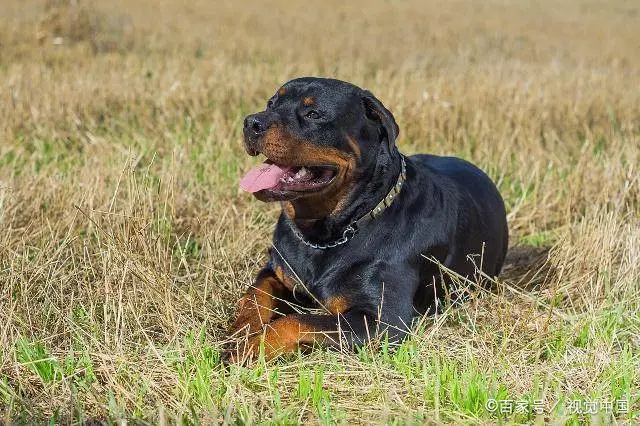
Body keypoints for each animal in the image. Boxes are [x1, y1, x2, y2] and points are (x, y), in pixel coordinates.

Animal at [222, 78, 508, 362]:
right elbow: (256, 295)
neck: (327, 233)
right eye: (271, 104)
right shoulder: (275, 270)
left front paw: (250, 348)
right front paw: (239, 333)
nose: (251, 122)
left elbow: (296, 321)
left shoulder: (383, 321)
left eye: (313, 114)